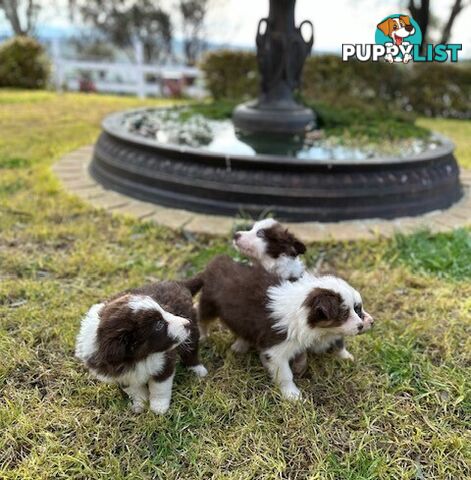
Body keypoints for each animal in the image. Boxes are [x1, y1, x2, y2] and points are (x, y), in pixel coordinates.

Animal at [74, 282, 207, 412]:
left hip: (191, 329)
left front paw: (158, 407)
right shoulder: (119, 374)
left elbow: (159, 386)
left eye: (164, 311)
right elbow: (135, 390)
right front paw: (140, 405)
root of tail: (177, 283)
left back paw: (198, 369)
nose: (187, 323)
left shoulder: (164, 361)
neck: (140, 357)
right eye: (159, 325)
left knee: (191, 349)